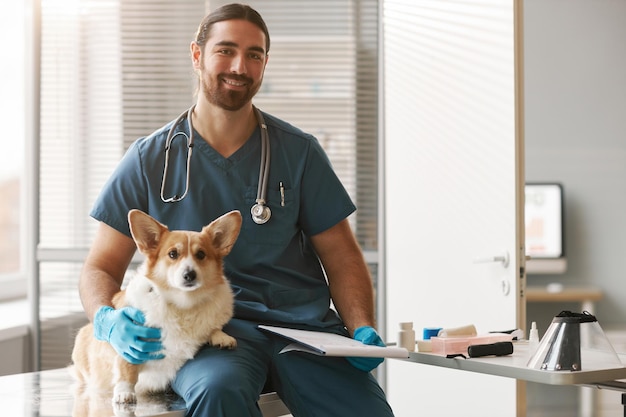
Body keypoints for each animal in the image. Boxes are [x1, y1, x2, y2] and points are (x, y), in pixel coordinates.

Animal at [70, 210, 241, 404]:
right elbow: (127, 368)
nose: (189, 275)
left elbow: (212, 327)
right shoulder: (130, 348)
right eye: (173, 254)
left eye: (201, 254)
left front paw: (221, 336)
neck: (182, 305)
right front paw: (124, 392)